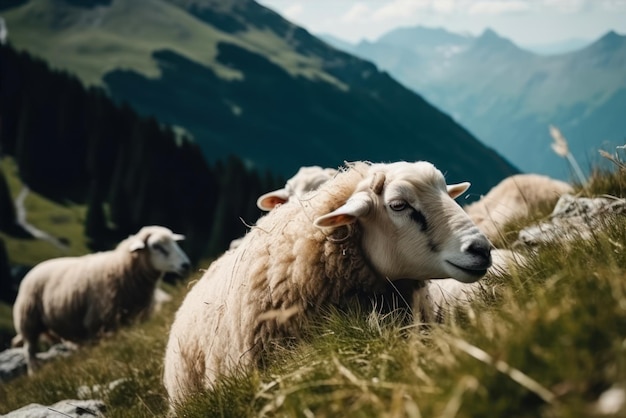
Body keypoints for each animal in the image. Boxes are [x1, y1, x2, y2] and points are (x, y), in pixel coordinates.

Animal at [12, 225, 188, 372]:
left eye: (175, 242)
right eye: (156, 246)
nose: (185, 264)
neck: (121, 268)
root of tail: (34, 268)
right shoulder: (98, 321)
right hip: (29, 319)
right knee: (29, 350)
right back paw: (33, 372)